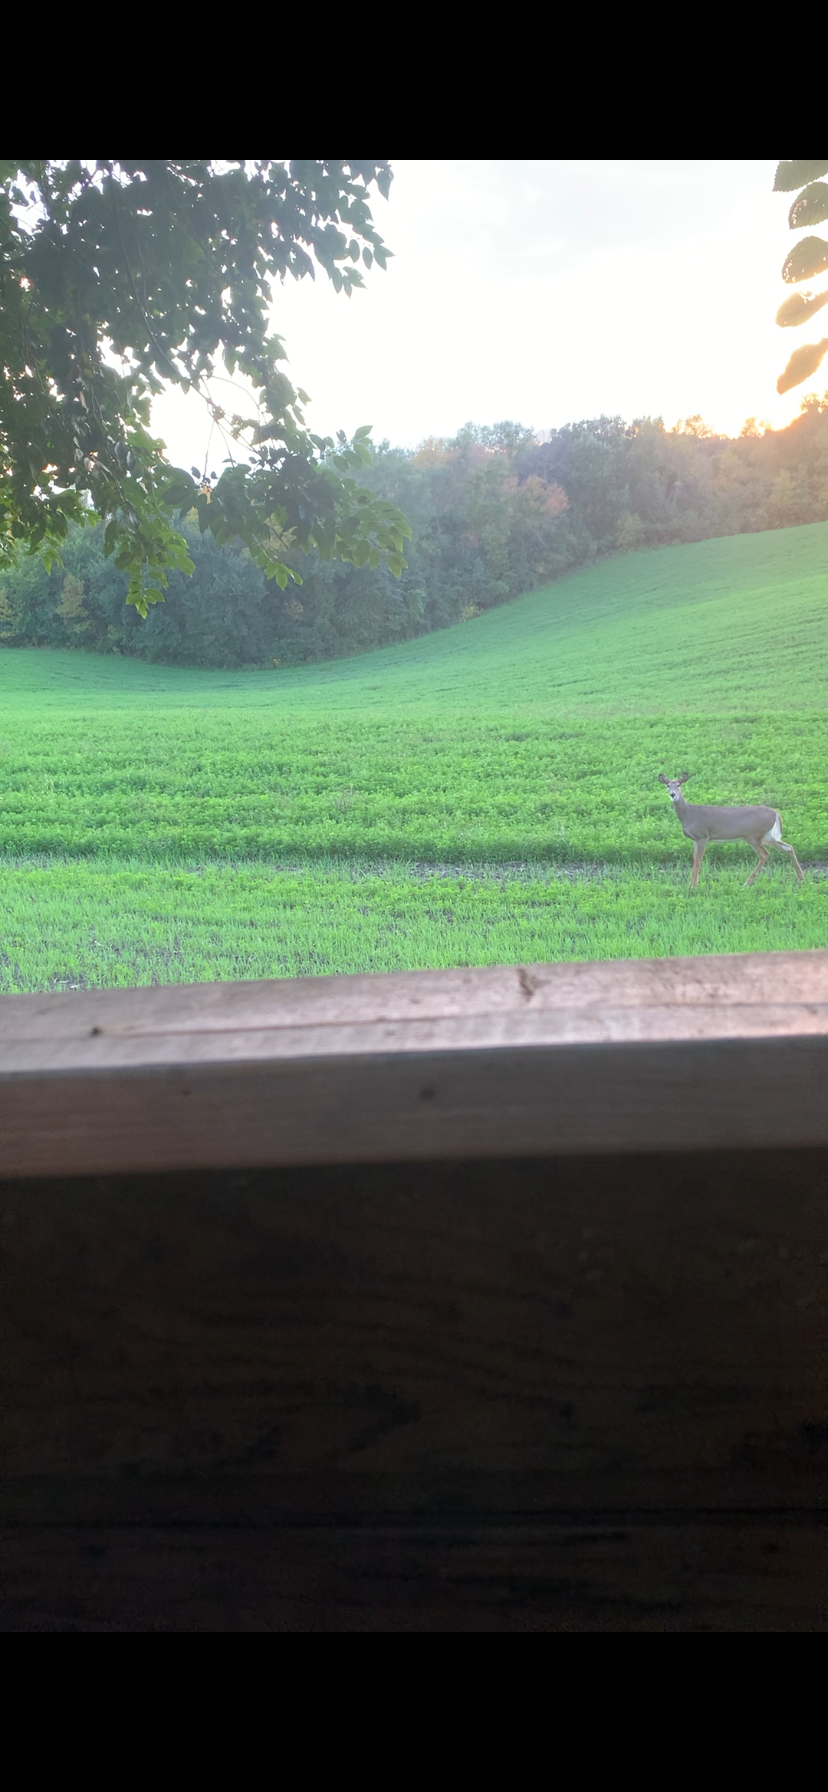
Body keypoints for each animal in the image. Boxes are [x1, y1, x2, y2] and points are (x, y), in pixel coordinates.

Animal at [658, 773, 805, 889]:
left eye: (678, 785)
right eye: (668, 785)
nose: (673, 794)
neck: (689, 814)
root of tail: (776, 813)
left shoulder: (702, 835)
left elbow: (698, 860)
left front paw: (693, 885)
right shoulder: (695, 839)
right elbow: (694, 858)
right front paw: (691, 883)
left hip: (753, 836)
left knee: (764, 854)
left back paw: (747, 882)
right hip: (767, 837)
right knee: (788, 847)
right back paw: (800, 878)